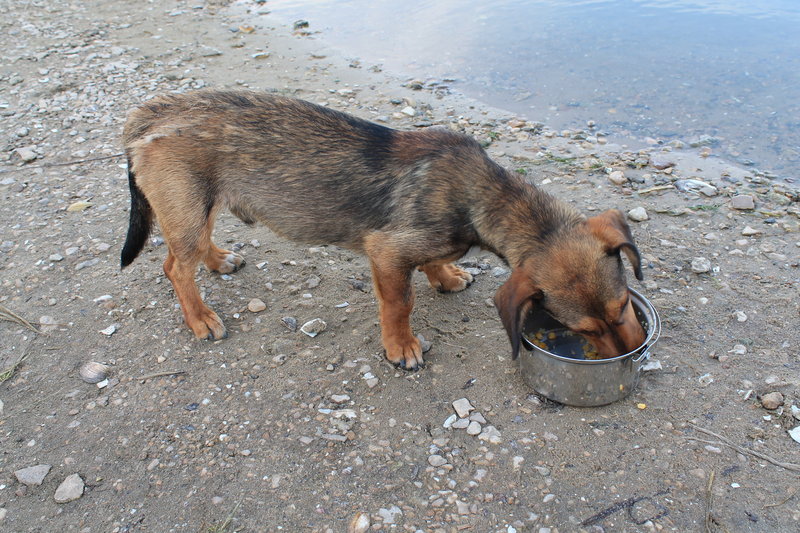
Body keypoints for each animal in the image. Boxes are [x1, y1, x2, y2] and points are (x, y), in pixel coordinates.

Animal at [122, 89, 648, 368]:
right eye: (582, 329)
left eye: (624, 306)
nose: (635, 356)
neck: (482, 192)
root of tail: (149, 114)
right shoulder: (388, 253)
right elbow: (399, 304)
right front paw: (401, 346)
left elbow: (434, 266)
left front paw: (447, 277)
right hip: (188, 211)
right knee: (175, 269)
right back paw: (200, 319)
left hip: (202, 205)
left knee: (190, 251)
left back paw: (220, 260)